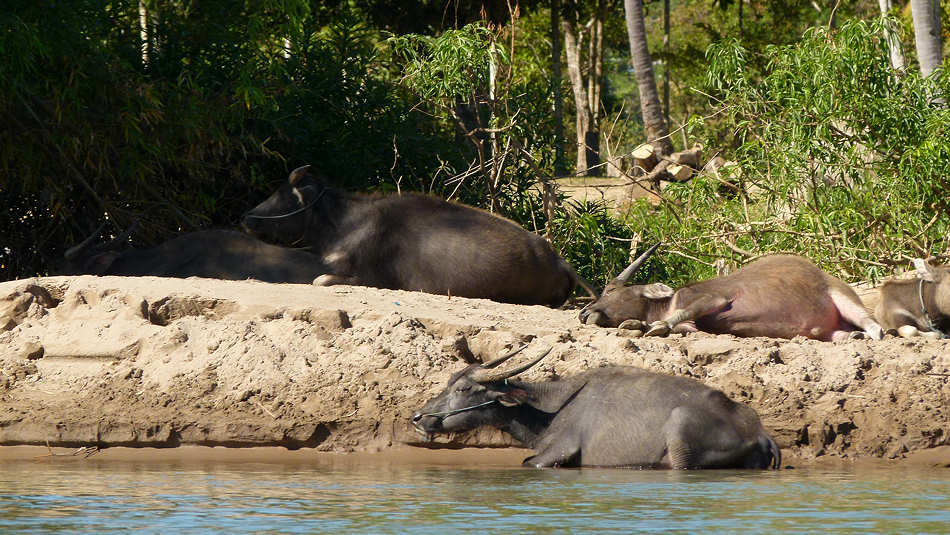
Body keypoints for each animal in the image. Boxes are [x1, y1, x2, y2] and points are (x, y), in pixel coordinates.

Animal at [244, 165, 596, 308]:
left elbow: (320, 280)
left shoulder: (367, 277)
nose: (246, 217)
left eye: (282, 194)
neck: (345, 222)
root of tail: (558, 259)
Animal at [410, 348, 780, 468]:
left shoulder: (556, 452)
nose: (418, 417)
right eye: (448, 381)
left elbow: (530, 463)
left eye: (463, 388)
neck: (550, 409)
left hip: (679, 438)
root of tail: (758, 431)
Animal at [580, 244, 884, 344]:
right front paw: (636, 324)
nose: (583, 312)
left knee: (874, 326)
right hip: (827, 330)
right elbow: (680, 327)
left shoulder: (711, 300)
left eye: (611, 289)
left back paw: (872, 333)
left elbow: (676, 316)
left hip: (844, 299)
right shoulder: (694, 326)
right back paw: (852, 337)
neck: (667, 301)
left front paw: (657, 325)